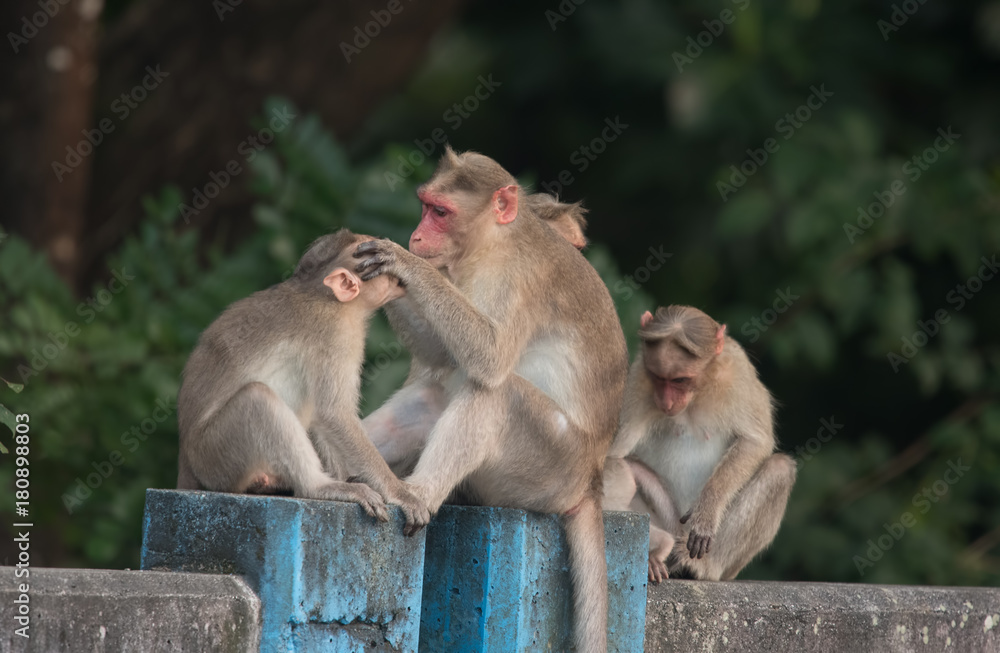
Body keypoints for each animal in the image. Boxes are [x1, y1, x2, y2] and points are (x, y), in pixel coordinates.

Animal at [176, 229, 431, 535]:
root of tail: (186, 458)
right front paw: (399, 492)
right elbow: (335, 414)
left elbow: (324, 421)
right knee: (257, 399)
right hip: (215, 456)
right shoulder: (335, 333)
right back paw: (318, 487)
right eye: (373, 256)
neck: (325, 296)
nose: (399, 262)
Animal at [354, 146, 628, 652]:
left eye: (441, 212)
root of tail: (590, 484)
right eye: (425, 205)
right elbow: (444, 355)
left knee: (498, 393)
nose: (416, 236)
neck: (493, 244)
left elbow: (489, 356)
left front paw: (402, 262)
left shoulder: (518, 278)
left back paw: (417, 493)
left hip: (549, 469)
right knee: (435, 393)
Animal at [603, 305, 797, 582]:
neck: (697, 393)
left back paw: (699, 566)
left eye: (680, 380)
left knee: (779, 469)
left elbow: (755, 442)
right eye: (658, 377)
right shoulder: (638, 379)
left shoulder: (738, 370)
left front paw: (706, 510)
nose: (666, 402)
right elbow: (613, 453)